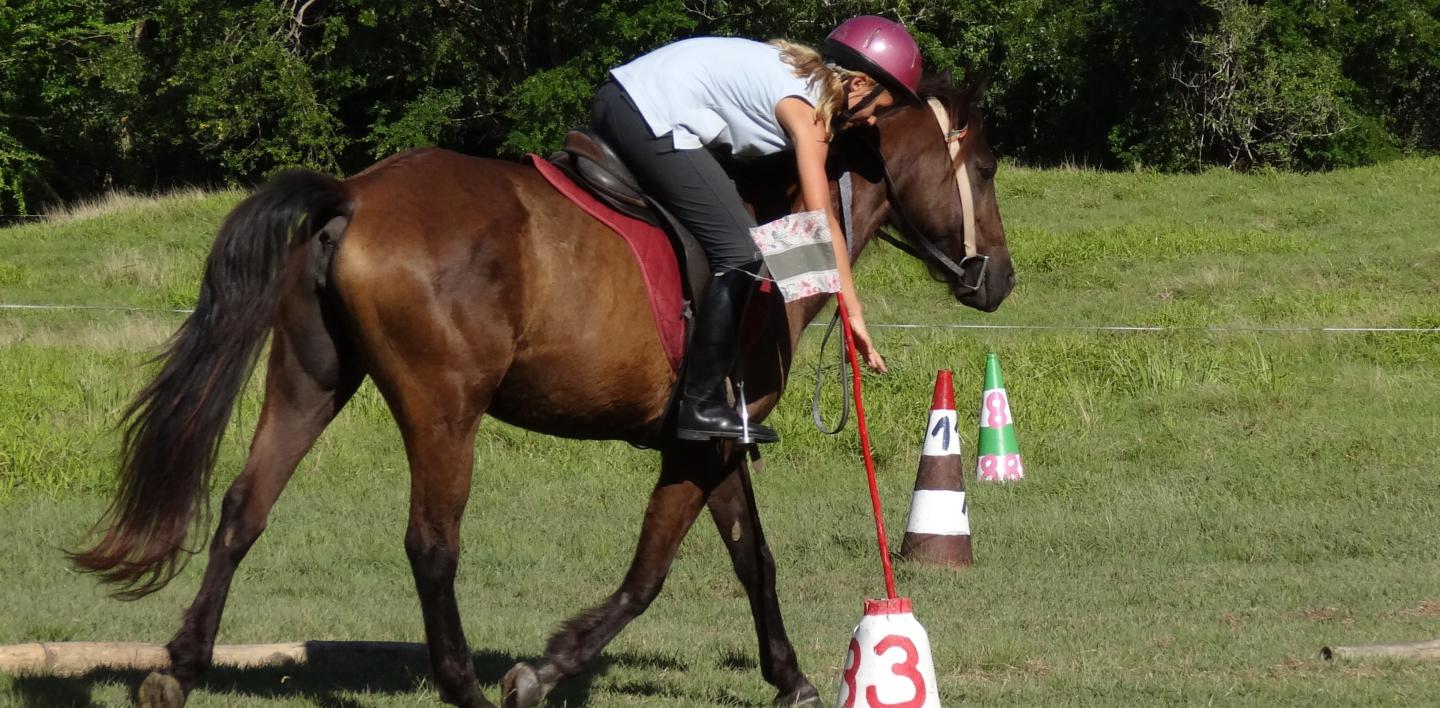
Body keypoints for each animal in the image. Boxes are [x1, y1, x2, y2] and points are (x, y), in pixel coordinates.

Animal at [67, 73, 1013, 708]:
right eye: (987, 167)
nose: (997, 280)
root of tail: (354, 196)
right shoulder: (702, 439)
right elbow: (650, 573)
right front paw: (544, 668)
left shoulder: (714, 442)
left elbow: (752, 558)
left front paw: (790, 678)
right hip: (445, 409)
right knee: (431, 543)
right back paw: (463, 688)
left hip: (309, 382)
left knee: (242, 510)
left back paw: (180, 668)